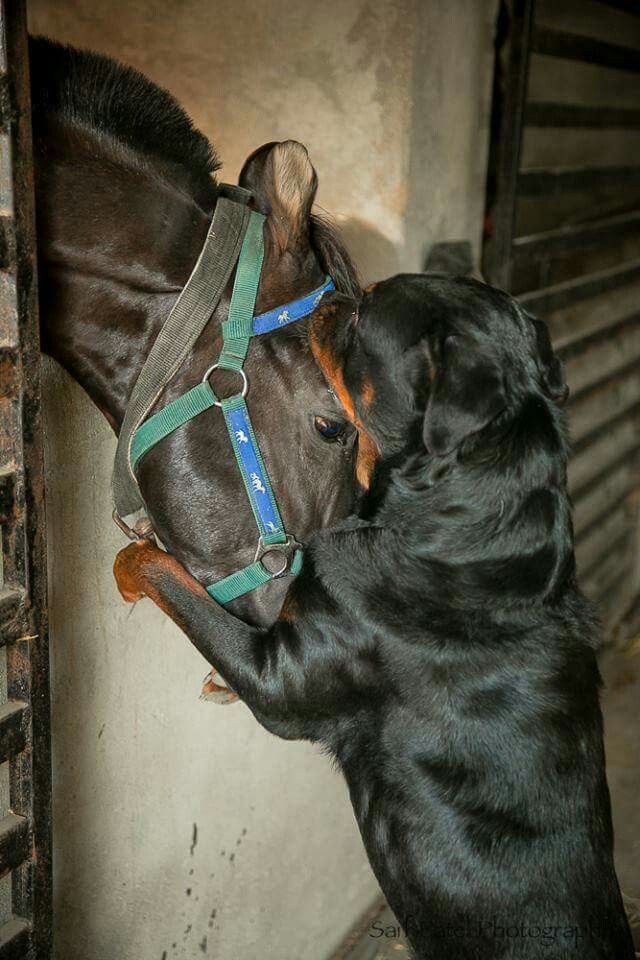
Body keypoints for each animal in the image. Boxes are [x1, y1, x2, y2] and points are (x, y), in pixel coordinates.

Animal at [116, 274, 636, 956]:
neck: (458, 523)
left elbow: (173, 584)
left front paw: (134, 557)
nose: (334, 298)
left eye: (363, 317)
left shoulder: (284, 680)